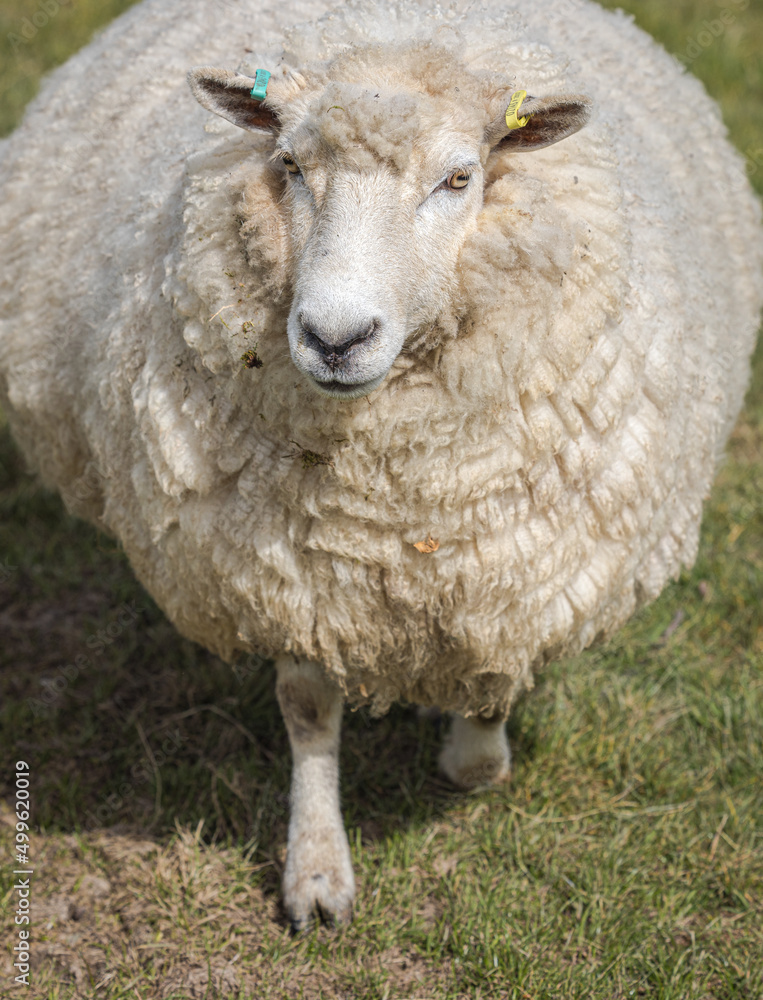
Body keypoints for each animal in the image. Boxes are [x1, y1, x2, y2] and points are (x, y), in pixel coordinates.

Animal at [0, 0, 761, 930]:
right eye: (289, 165)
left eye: (460, 178)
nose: (334, 336)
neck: (387, 497)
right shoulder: (288, 574)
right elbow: (307, 709)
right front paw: (316, 872)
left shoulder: (507, 557)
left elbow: (489, 683)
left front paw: (475, 754)